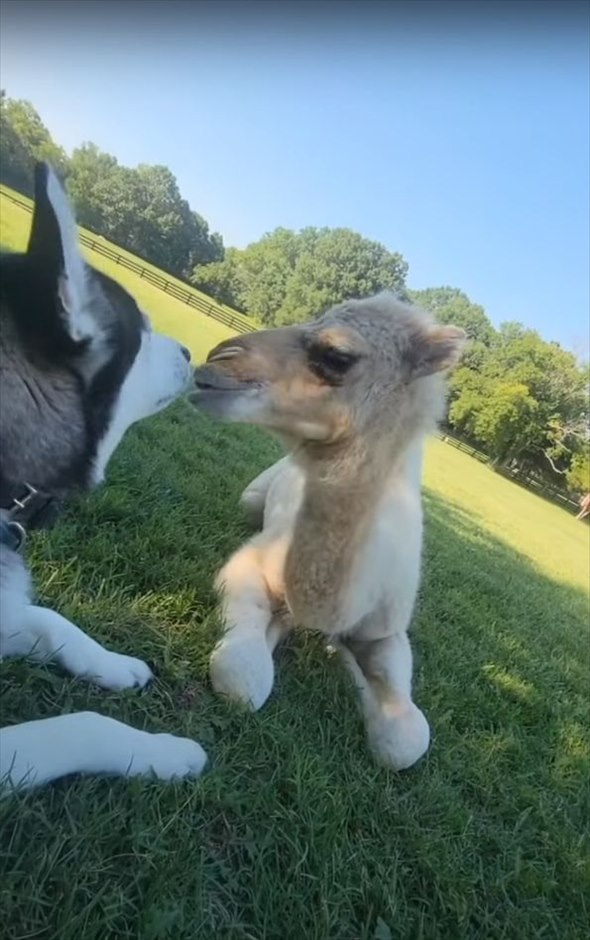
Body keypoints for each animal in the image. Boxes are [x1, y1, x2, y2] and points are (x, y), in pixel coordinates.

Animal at [0, 165, 208, 788]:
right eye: (140, 332)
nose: (191, 352)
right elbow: (78, 726)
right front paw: (167, 752)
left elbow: (46, 617)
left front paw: (114, 665)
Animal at [192, 294, 464, 772]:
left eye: (337, 354)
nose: (218, 357)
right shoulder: (247, 564)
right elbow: (242, 676)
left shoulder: (388, 629)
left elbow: (406, 740)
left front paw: (343, 660)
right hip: (251, 498)